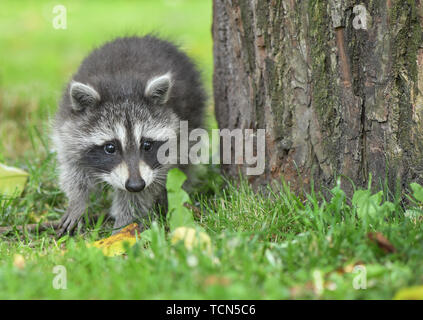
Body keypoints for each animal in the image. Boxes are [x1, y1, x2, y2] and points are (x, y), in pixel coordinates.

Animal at [52, 36, 208, 236]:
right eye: (110, 148)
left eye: (147, 145)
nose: (135, 184)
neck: (122, 88)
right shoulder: (69, 129)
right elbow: (73, 169)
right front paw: (77, 202)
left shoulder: (167, 152)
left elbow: (141, 193)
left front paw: (124, 225)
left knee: (185, 163)